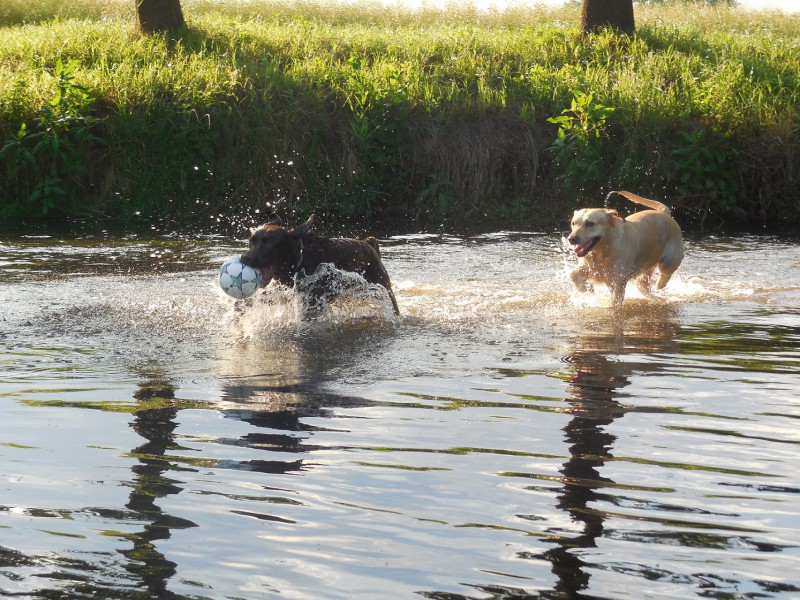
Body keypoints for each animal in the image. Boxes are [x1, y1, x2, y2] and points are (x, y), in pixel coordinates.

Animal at [238, 213, 400, 314]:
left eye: (269, 243)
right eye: (251, 241)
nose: (244, 258)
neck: (299, 263)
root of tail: (368, 243)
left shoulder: (311, 302)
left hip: (384, 289)